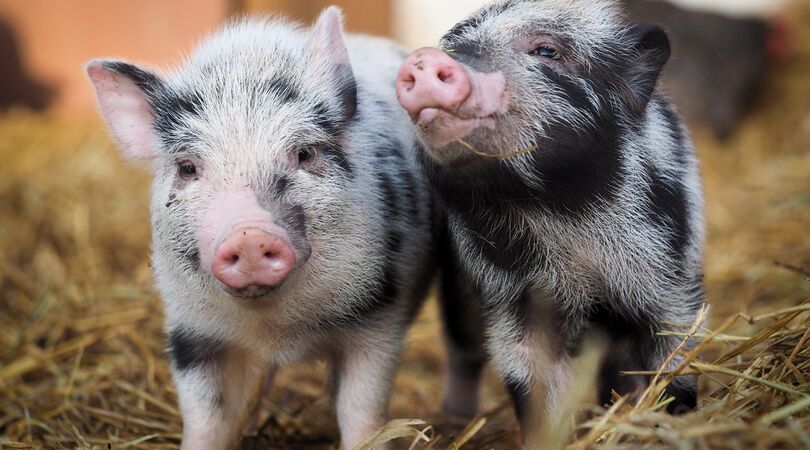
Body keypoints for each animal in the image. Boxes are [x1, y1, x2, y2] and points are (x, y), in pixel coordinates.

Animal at [87, 8, 437, 449]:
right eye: (188, 167)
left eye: (304, 153)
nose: (249, 235)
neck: (277, 332)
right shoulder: (190, 330)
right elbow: (206, 418)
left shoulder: (379, 320)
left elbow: (361, 412)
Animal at [395, 0, 705, 440]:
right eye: (452, 45)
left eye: (547, 51)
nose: (424, 59)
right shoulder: (511, 300)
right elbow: (534, 389)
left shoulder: (672, 282)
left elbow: (675, 366)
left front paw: (669, 422)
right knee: (463, 350)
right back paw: (457, 419)